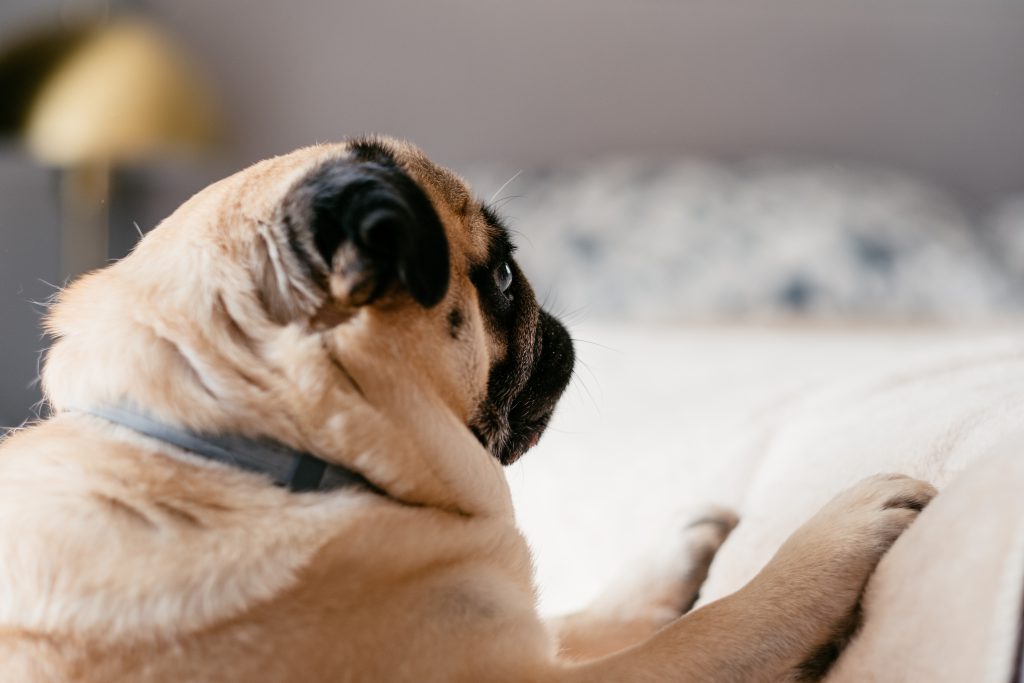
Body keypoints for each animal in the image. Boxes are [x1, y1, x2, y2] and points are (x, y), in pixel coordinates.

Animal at [0, 136, 937, 679]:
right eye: (508, 278)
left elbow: (583, 613)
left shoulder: (515, 628)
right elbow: (722, 624)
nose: (557, 322)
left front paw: (673, 558)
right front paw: (831, 536)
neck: (238, 441)